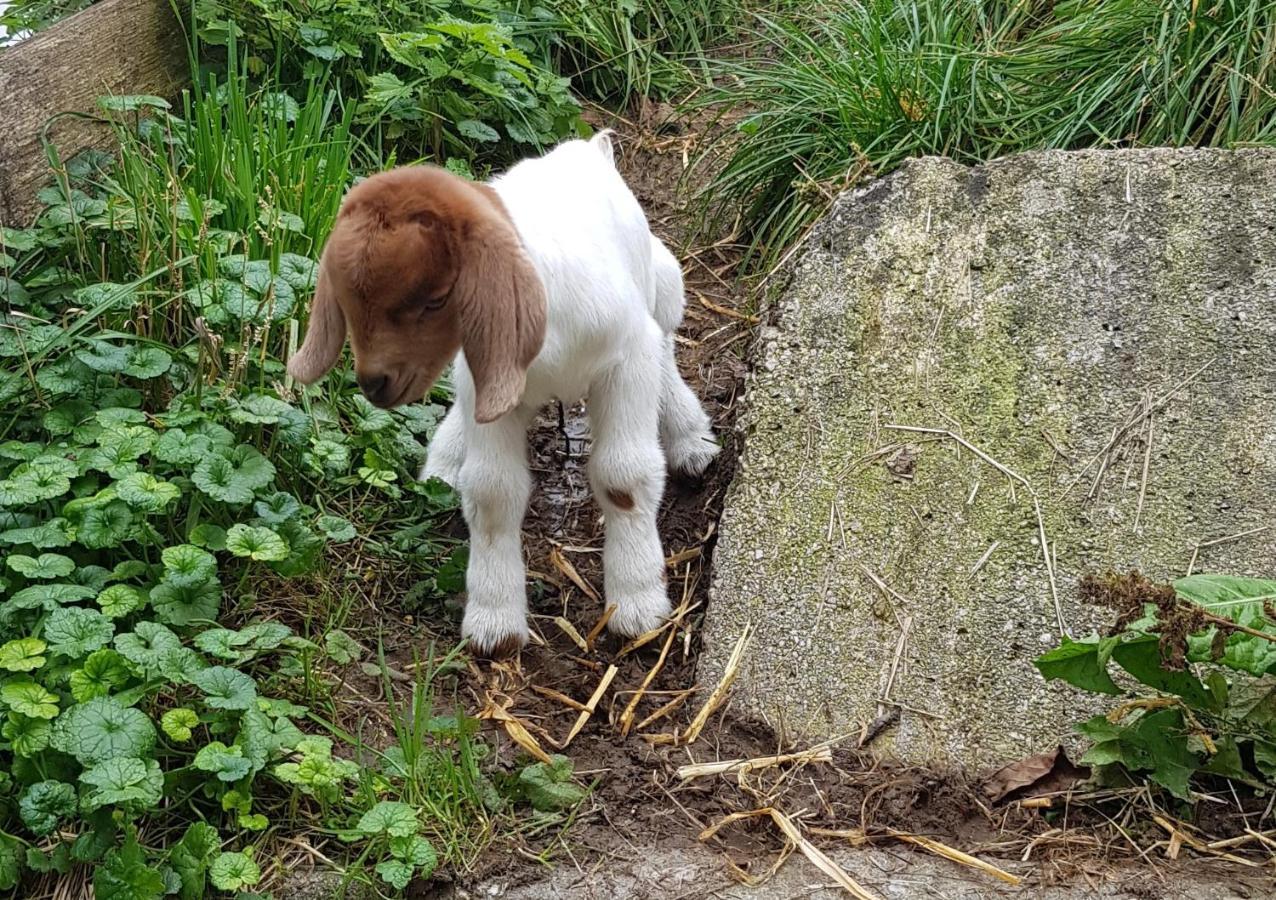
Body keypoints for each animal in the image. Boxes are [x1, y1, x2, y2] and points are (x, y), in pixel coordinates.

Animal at [288, 131, 719, 653]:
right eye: (351, 300)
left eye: (435, 299)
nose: (375, 384)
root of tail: (587, 149)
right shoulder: (486, 384)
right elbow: (493, 490)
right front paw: (494, 621)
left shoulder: (627, 360)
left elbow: (625, 476)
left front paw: (638, 606)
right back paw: (446, 459)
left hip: (664, 285)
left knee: (667, 345)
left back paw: (690, 437)